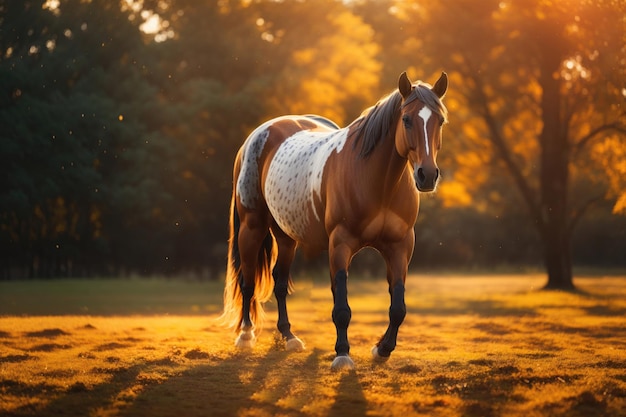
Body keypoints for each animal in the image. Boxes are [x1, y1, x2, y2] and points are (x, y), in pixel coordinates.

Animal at [222, 70, 446, 368]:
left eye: (440, 120)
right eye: (407, 119)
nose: (427, 175)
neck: (377, 181)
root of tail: (258, 134)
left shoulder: (400, 246)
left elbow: (398, 306)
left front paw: (382, 348)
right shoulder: (340, 243)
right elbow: (341, 306)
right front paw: (342, 354)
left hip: (287, 236)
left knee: (279, 282)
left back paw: (289, 337)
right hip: (252, 227)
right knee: (247, 280)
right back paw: (246, 335)